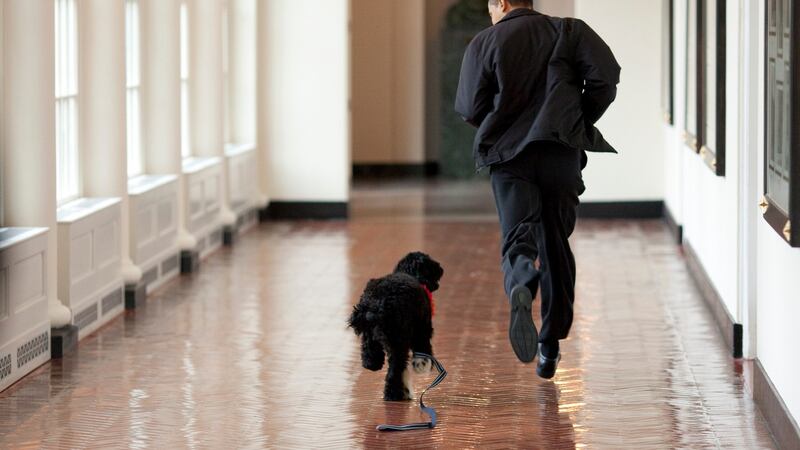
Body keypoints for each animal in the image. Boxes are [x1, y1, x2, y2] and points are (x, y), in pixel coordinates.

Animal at [346, 251, 440, 402]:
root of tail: (377, 303)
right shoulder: (422, 329)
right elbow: (423, 351)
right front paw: (422, 365)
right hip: (399, 340)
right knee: (394, 370)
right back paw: (393, 394)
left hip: (373, 334)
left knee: (370, 352)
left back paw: (373, 364)